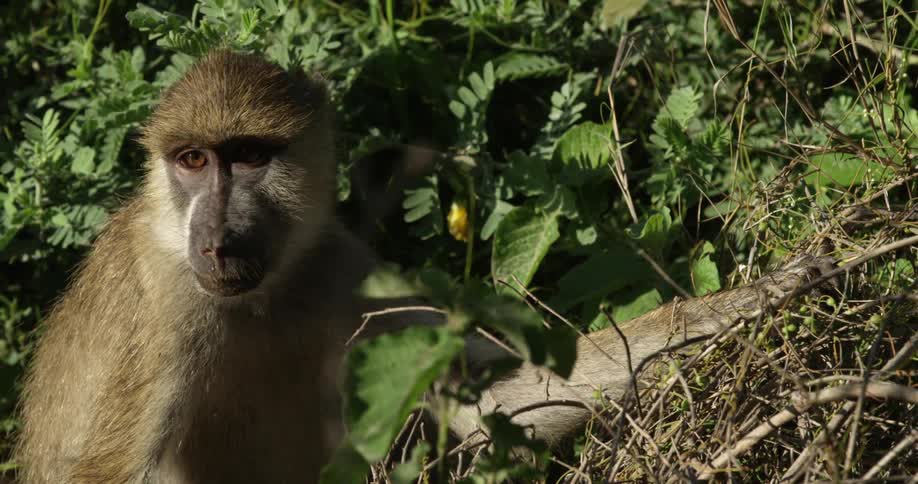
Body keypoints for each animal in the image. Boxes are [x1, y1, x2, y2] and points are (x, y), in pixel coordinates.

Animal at [14, 50, 835, 483]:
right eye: (191, 160)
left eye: (247, 156)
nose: (216, 242)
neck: (259, 299)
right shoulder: (164, 310)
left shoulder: (341, 273)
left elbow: (487, 396)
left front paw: (770, 292)